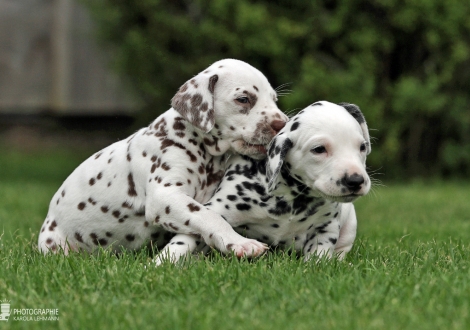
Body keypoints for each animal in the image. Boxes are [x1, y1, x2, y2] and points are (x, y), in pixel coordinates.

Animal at [160, 102, 372, 262]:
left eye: (362, 147)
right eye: (319, 149)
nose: (355, 180)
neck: (290, 198)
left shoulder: (325, 227)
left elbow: (319, 256)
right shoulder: (216, 209)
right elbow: (191, 235)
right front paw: (162, 263)